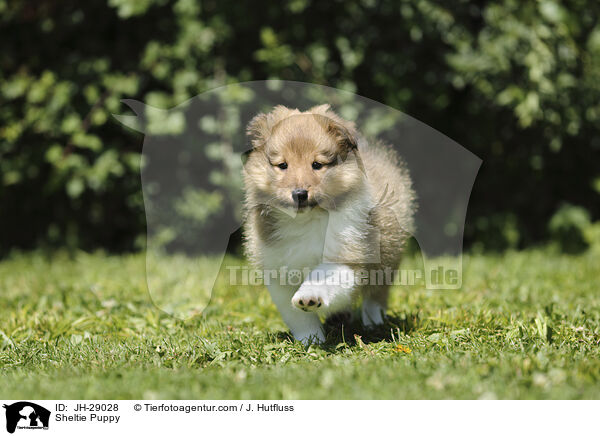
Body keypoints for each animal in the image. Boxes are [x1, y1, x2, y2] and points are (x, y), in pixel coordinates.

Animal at [241, 104, 414, 344]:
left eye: (317, 165)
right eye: (282, 165)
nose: (299, 194)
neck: (306, 220)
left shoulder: (348, 256)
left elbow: (321, 276)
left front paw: (309, 297)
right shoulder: (278, 269)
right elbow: (297, 315)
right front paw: (310, 340)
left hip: (388, 255)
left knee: (376, 294)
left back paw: (374, 322)